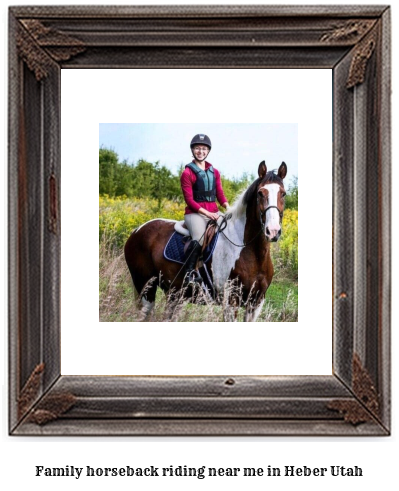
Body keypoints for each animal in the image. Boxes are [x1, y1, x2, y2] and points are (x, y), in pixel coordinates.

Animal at [125, 161, 288, 322]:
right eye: (260, 193)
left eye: (283, 193)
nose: (273, 231)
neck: (252, 252)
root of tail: (137, 230)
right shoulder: (231, 301)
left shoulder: (256, 304)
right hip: (146, 288)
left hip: (175, 294)